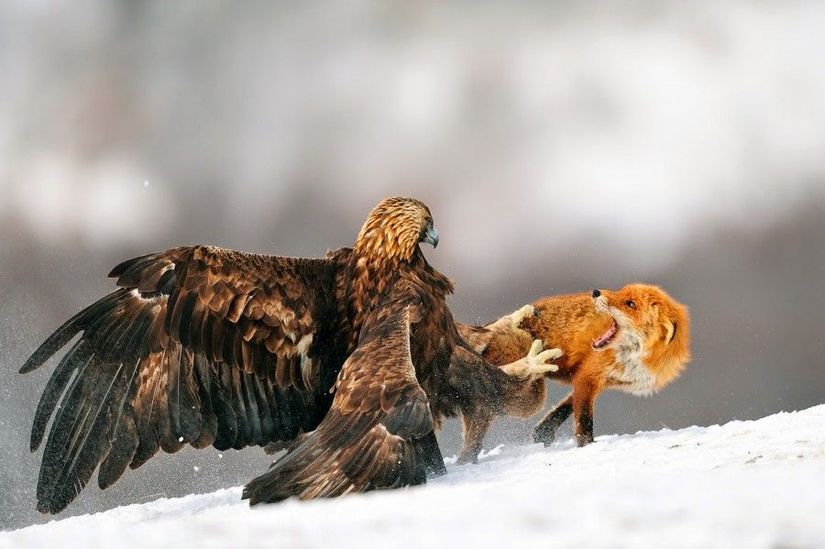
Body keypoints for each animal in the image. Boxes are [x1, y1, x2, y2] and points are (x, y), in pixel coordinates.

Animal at [458, 284, 688, 460]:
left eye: (630, 304)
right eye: (620, 292)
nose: (595, 292)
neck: (635, 359)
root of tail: (486, 329)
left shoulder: (596, 380)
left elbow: (563, 409)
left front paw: (543, 433)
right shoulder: (588, 376)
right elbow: (584, 420)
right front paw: (586, 447)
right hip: (531, 397)